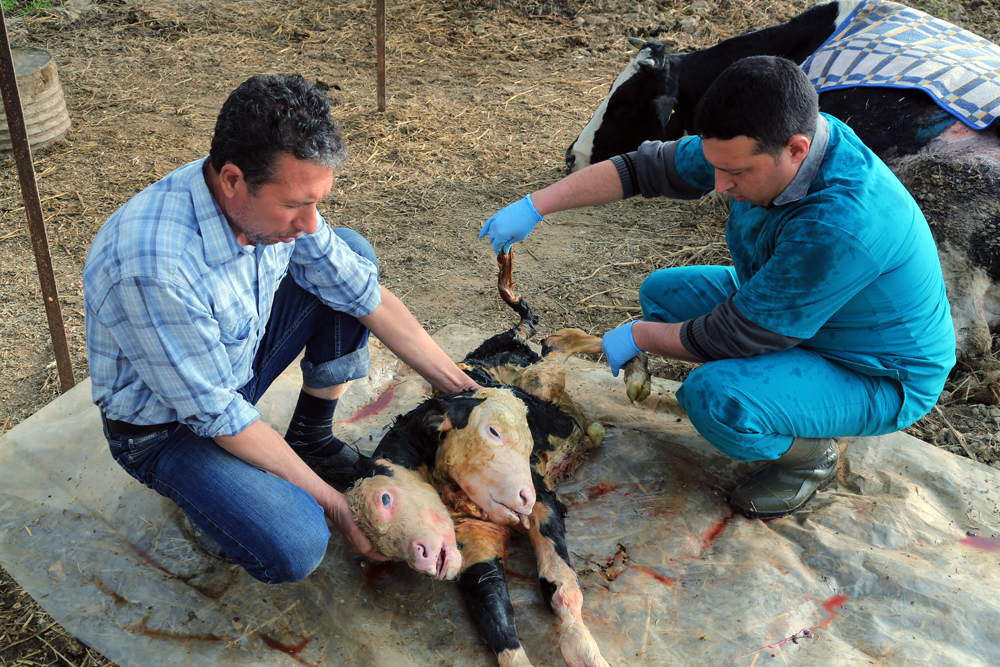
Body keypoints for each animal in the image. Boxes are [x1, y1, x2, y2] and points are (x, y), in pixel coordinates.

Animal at [348, 260, 620, 667]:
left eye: (385, 499)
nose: (423, 558)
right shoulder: (474, 542)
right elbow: (496, 616)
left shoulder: (543, 499)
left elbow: (559, 581)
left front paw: (587, 653)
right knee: (551, 345)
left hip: (536, 376)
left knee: (551, 339)